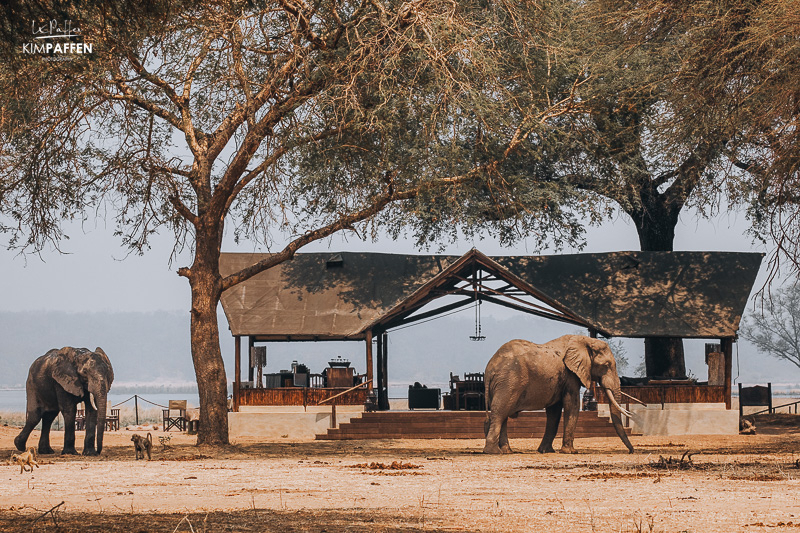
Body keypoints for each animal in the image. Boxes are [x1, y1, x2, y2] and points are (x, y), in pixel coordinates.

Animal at [484, 332, 636, 454]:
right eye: (606, 365)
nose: (631, 451)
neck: (584, 340)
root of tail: (489, 369)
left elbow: (554, 411)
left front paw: (545, 451)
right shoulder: (570, 375)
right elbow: (572, 404)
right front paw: (571, 452)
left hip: (503, 384)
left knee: (503, 414)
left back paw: (506, 451)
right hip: (509, 381)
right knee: (500, 411)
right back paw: (493, 452)